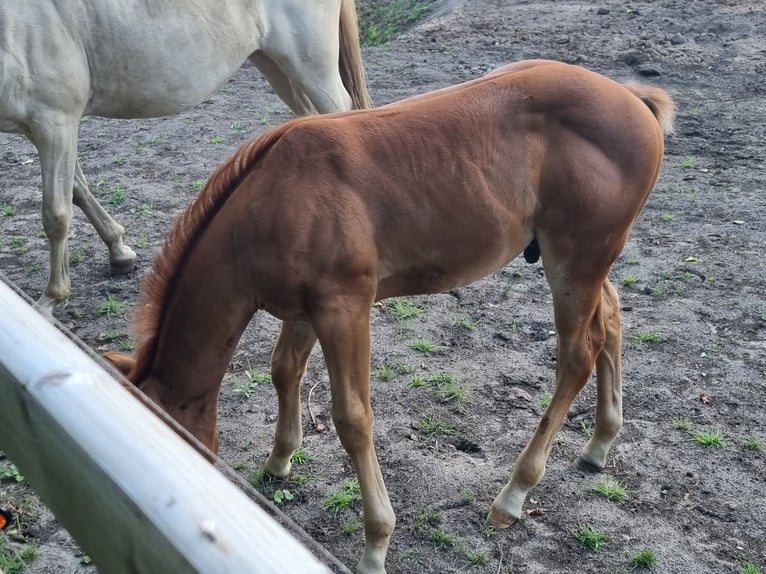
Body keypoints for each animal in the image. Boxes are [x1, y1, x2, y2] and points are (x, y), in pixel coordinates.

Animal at [0, 0, 371, 313]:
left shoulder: (55, 122)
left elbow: (57, 213)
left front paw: (49, 302)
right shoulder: (49, 129)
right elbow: (78, 191)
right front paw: (119, 252)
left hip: (311, 68)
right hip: (275, 64)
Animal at [104, 60, 674, 573]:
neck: (271, 203)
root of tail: (631, 98)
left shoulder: (345, 309)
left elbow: (353, 418)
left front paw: (376, 546)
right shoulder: (304, 309)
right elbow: (284, 371)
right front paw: (279, 461)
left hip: (575, 261)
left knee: (578, 355)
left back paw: (513, 494)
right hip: (588, 264)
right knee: (611, 321)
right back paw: (599, 444)